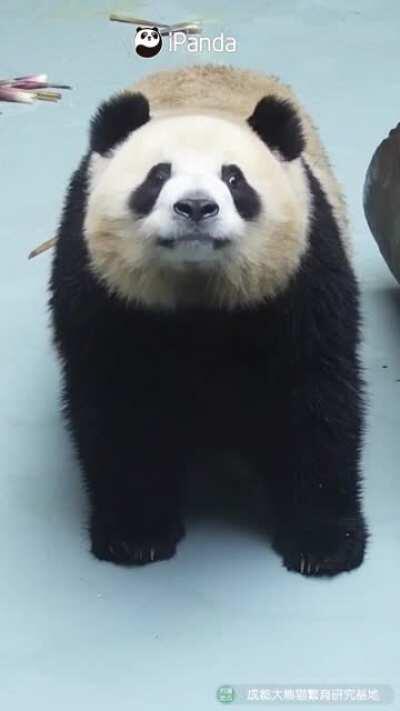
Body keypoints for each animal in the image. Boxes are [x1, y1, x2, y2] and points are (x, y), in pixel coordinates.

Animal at [49, 65, 367, 576]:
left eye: (234, 178)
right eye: (158, 176)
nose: (196, 207)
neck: (198, 290)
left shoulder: (302, 272)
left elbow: (315, 397)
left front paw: (324, 544)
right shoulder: (102, 286)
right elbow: (118, 402)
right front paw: (136, 535)